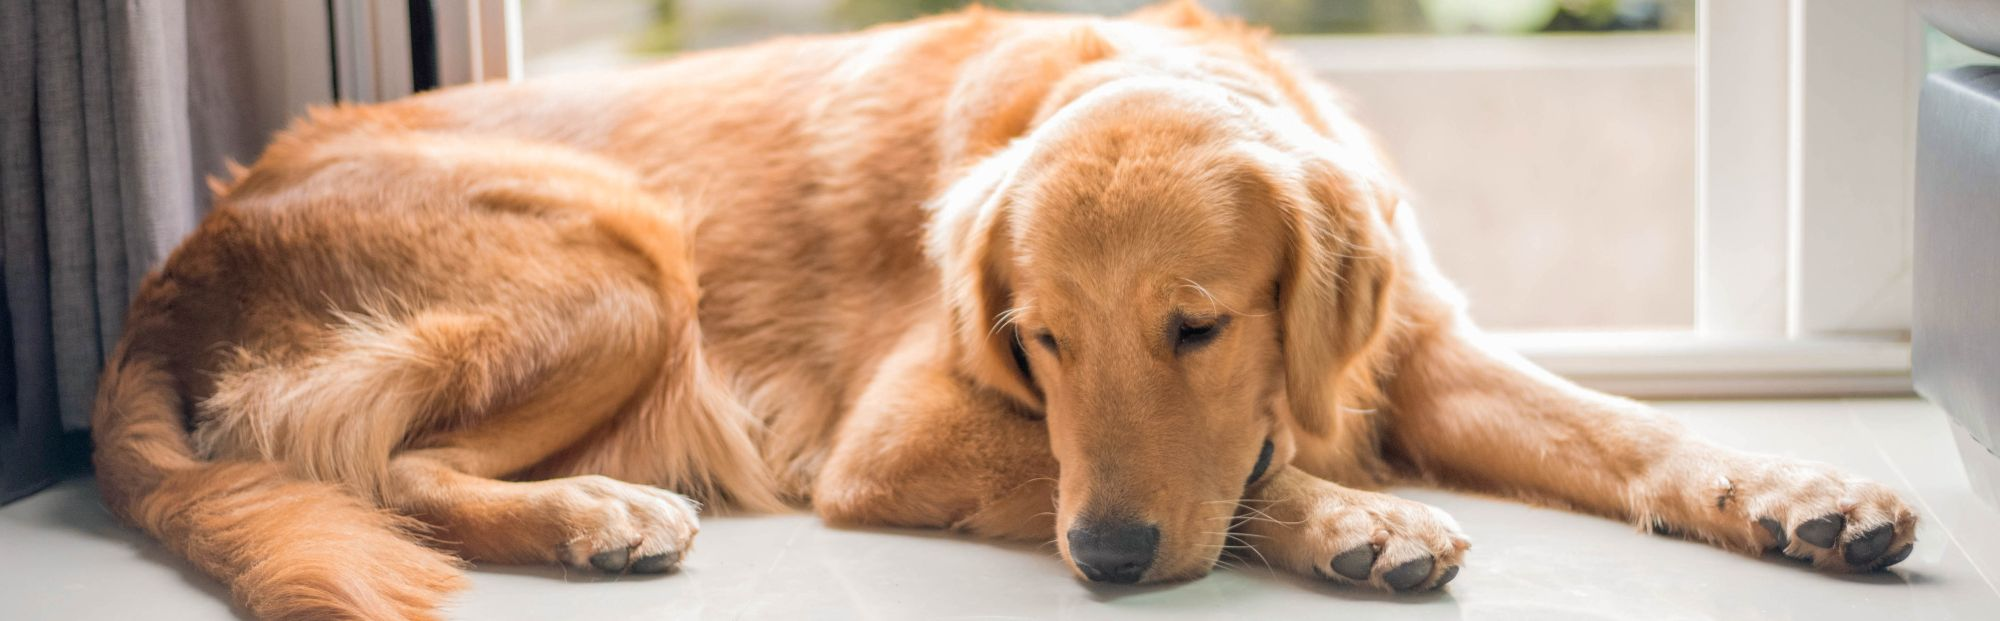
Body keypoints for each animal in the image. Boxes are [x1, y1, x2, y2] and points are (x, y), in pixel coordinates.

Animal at [94, 2, 1920, 616]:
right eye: (1038, 340)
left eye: (1198, 327)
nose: (1102, 566)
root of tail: (173, 265)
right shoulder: (893, 435)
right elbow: (1219, 479)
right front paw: (1348, 521)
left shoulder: (1422, 349)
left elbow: (1630, 429)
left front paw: (1801, 489)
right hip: (622, 259)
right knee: (366, 461)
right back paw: (598, 512)